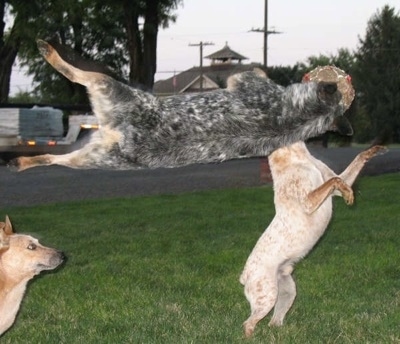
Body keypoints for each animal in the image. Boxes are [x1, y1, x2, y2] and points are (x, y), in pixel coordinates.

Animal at [8, 39, 354, 172]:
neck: (301, 115)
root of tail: (122, 135)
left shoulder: (242, 79)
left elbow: (253, 71)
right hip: (94, 158)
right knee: (51, 159)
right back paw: (23, 162)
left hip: (106, 89)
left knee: (76, 74)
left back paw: (49, 51)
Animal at [239, 141, 386, 338]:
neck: (298, 155)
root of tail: (244, 275)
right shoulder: (308, 201)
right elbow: (335, 181)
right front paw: (349, 195)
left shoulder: (334, 185)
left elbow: (347, 170)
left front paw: (375, 150)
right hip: (267, 296)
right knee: (248, 323)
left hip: (287, 291)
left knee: (274, 322)